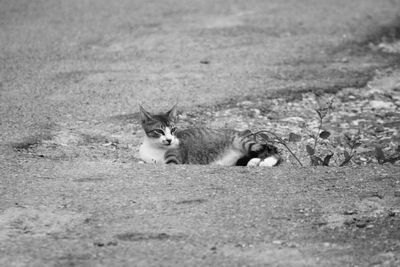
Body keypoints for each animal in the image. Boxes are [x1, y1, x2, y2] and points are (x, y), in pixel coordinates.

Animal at [139, 105, 280, 166]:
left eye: (173, 130)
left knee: (270, 149)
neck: (155, 148)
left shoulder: (175, 159)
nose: (169, 140)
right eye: (159, 131)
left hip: (243, 141)